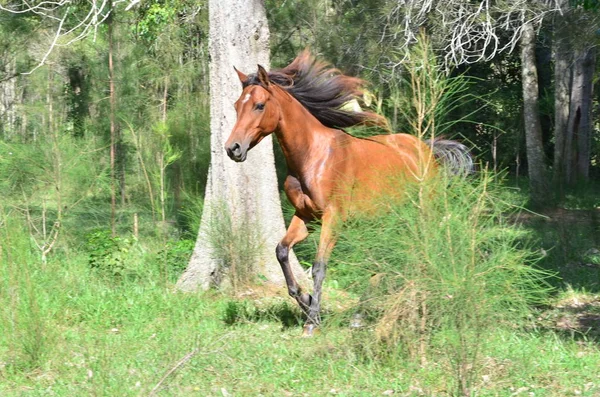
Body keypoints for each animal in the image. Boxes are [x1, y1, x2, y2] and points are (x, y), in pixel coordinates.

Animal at [223, 49, 472, 334]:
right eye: (237, 105)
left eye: (260, 105)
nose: (233, 148)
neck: (313, 156)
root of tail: (428, 151)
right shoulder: (305, 217)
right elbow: (282, 251)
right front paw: (306, 300)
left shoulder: (333, 218)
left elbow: (319, 266)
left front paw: (312, 321)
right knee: (386, 260)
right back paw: (361, 315)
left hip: (420, 215)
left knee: (418, 252)